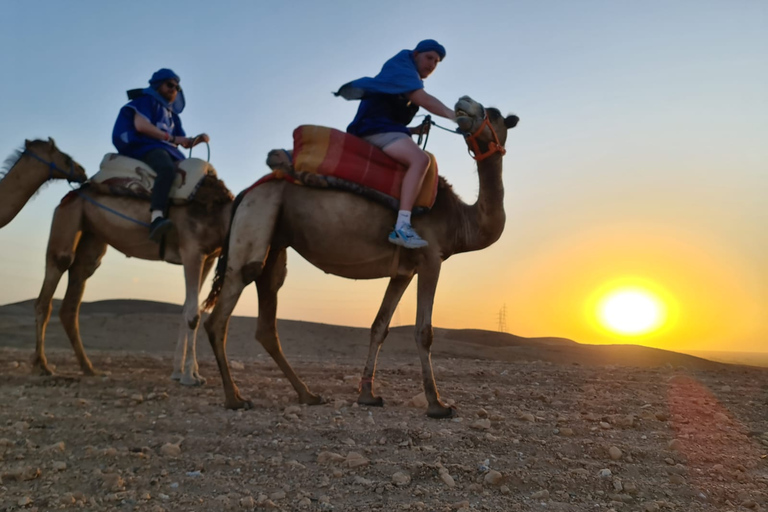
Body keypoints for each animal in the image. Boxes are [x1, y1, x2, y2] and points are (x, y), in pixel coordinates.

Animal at [1, 140, 232, 384]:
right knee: (51, 285)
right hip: (67, 222)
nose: (79, 170)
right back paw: (42, 365)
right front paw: (189, 376)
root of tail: (74, 194)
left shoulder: (208, 257)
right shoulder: (192, 251)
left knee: (72, 298)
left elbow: (187, 309)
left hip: (91, 238)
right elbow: (193, 314)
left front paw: (181, 373)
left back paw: (89, 369)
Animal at [201, 96, 520, 416]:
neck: (459, 220)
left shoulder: (404, 271)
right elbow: (423, 332)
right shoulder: (431, 258)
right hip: (258, 215)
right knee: (222, 311)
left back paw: (307, 394)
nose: (463, 102)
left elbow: (379, 326)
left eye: (494, 114)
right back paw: (235, 398)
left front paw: (367, 394)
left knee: (267, 317)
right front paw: (437, 404)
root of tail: (245, 192)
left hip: (275, 243)